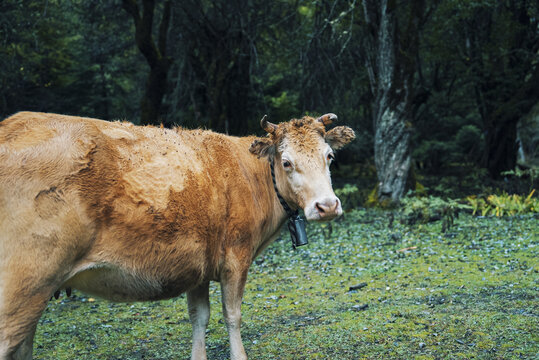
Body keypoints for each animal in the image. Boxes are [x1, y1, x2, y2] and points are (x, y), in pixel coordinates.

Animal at [0, 111, 356, 358]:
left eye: (329, 156)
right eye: (286, 162)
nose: (327, 206)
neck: (250, 176)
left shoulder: (198, 262)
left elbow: (199, 317)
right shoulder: (235, 256)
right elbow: (232, 315)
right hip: (24, 286)